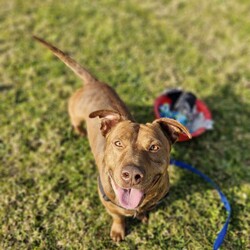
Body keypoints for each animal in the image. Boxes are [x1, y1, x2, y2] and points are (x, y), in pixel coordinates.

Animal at [32, 36, 189, 241]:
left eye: (154, 147)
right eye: (118, 143)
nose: (132, 175)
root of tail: (93, 82)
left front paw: (143, 216)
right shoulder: (109, 204)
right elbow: (117, 216)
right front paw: (118, 230)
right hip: (75, 113)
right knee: (75, 122)